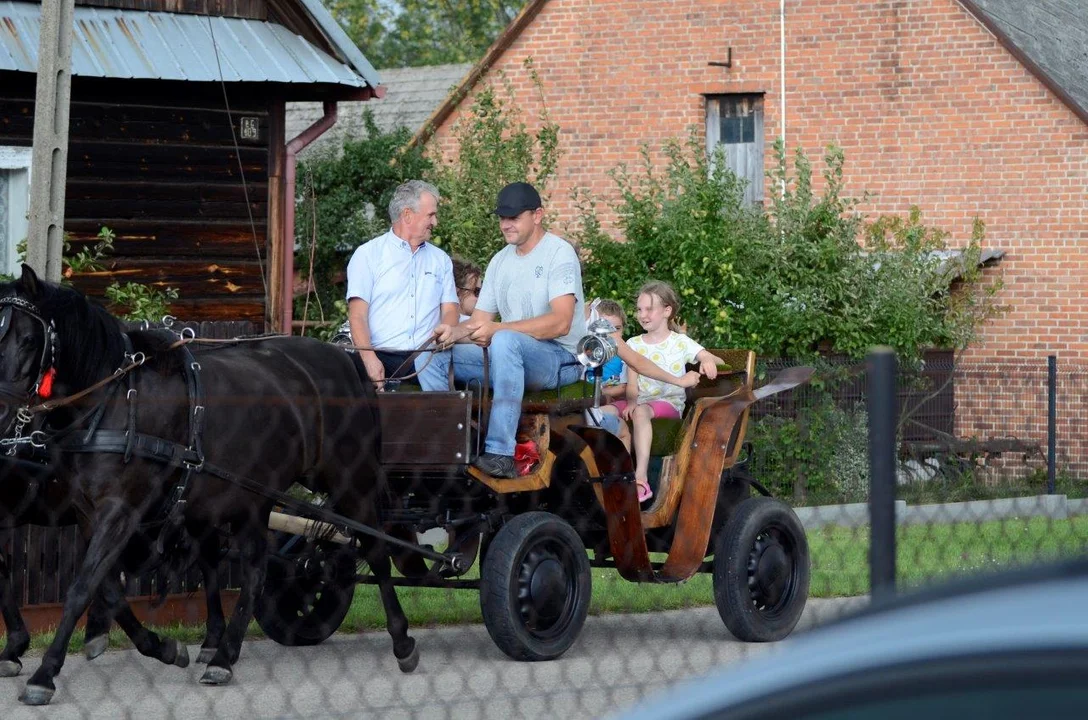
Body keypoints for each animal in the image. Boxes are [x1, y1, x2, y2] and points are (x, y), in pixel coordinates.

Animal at [0, 267, 411, 709]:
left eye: (28, 339)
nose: (2, 412)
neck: (114, 401)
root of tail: (347, 360)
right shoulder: (88, 513)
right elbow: (105, 588)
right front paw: (159, 647)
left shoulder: (120, 512)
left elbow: (80, 588)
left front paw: (43, 673)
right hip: (247, 498)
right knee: (251, 571)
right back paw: (222, 653)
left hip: (349, 480)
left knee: (376, 550)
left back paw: (402, 640)